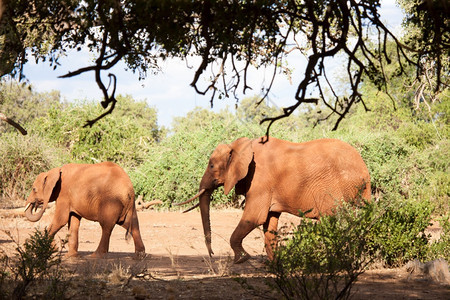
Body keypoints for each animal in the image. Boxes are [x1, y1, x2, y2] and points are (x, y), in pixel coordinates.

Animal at [178, 137, 370, 264]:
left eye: (211, 166)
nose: (211, 255)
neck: (241, 146)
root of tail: (364, 171)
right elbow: (268, 222)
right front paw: (275, 266)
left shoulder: (260, 179)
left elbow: (254, 218)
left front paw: (241, 259)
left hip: (337, 189)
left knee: (333, 221)